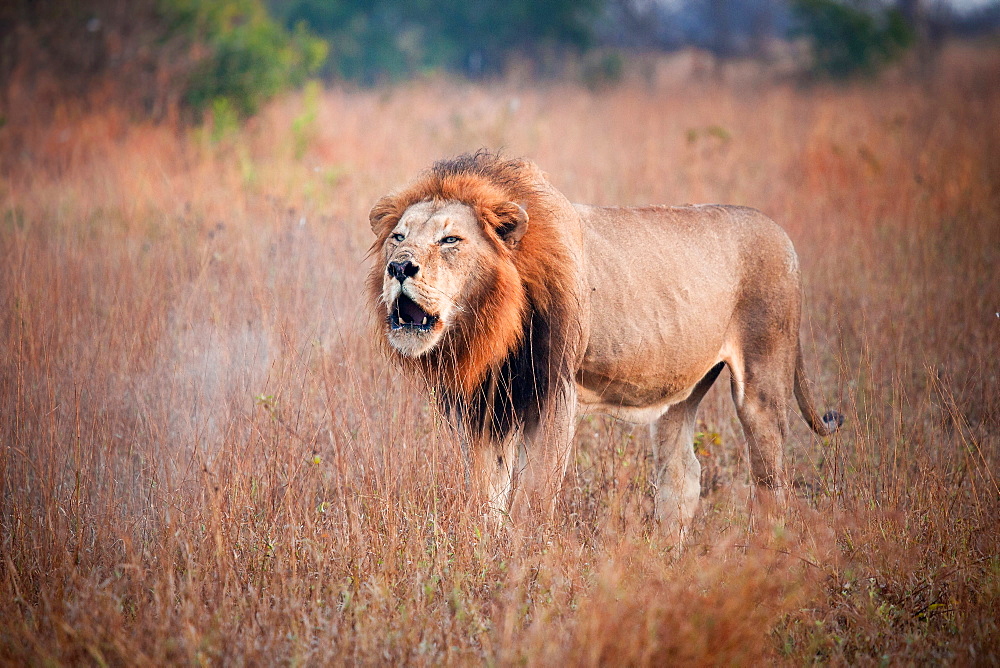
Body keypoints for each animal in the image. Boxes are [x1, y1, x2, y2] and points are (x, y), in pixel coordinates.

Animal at [364, 150, 840, 536]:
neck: (493, 326)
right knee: (682, 476)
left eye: (450, 240)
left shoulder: (555, 392)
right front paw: (485, 552)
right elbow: (486, 495)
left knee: (771, 482)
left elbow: (534, 495)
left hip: (764, 378)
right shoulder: (485, 407)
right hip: (682, 389)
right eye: (399, 237)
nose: (399, 267)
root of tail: (782, 233)